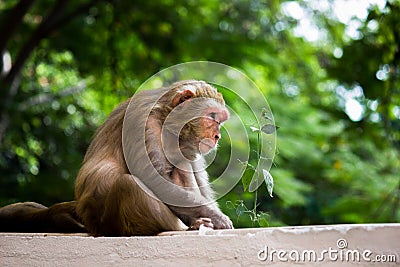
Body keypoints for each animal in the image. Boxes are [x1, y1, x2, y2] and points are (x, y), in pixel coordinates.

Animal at [0, 80, 233, 237]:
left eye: (220, 121)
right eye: (212, 116)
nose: (217, 136)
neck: (165, 118)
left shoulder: (189, 144)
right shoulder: (143, 122)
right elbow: (154, 179)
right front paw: (218, 218)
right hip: (111, 222)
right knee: (128, 184)